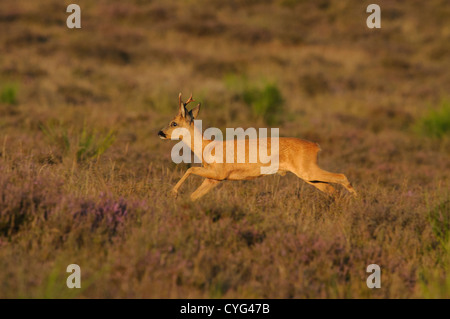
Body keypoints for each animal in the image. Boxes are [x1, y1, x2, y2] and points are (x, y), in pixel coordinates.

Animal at [156, 94, 356, 201]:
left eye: (174, 123)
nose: (160, 132)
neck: (207, 147)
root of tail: (316, 146)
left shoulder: (219, 173)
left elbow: (189, 169)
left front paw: (172, 192)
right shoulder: (214, 179)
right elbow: (193, 196)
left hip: (307, 170)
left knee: (342, 177)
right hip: (309, 175)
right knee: (332, 189)